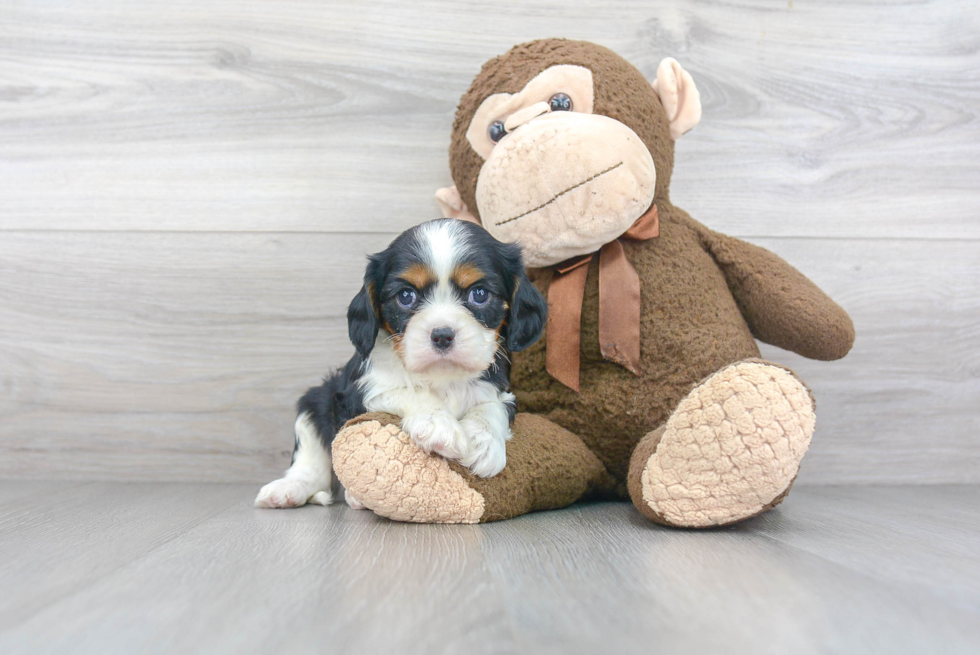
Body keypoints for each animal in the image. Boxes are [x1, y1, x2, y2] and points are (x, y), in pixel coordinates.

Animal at [253, 220, 548, 512]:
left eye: (480, 294)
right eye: (406, 296)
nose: (442, 335)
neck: (442, 377)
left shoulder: (500, 389)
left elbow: (490, 406)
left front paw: (484, 442)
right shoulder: (359, 391)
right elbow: (408, 391)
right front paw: (439, 424)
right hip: (315, 401)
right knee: (310, 461)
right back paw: (290, 490)